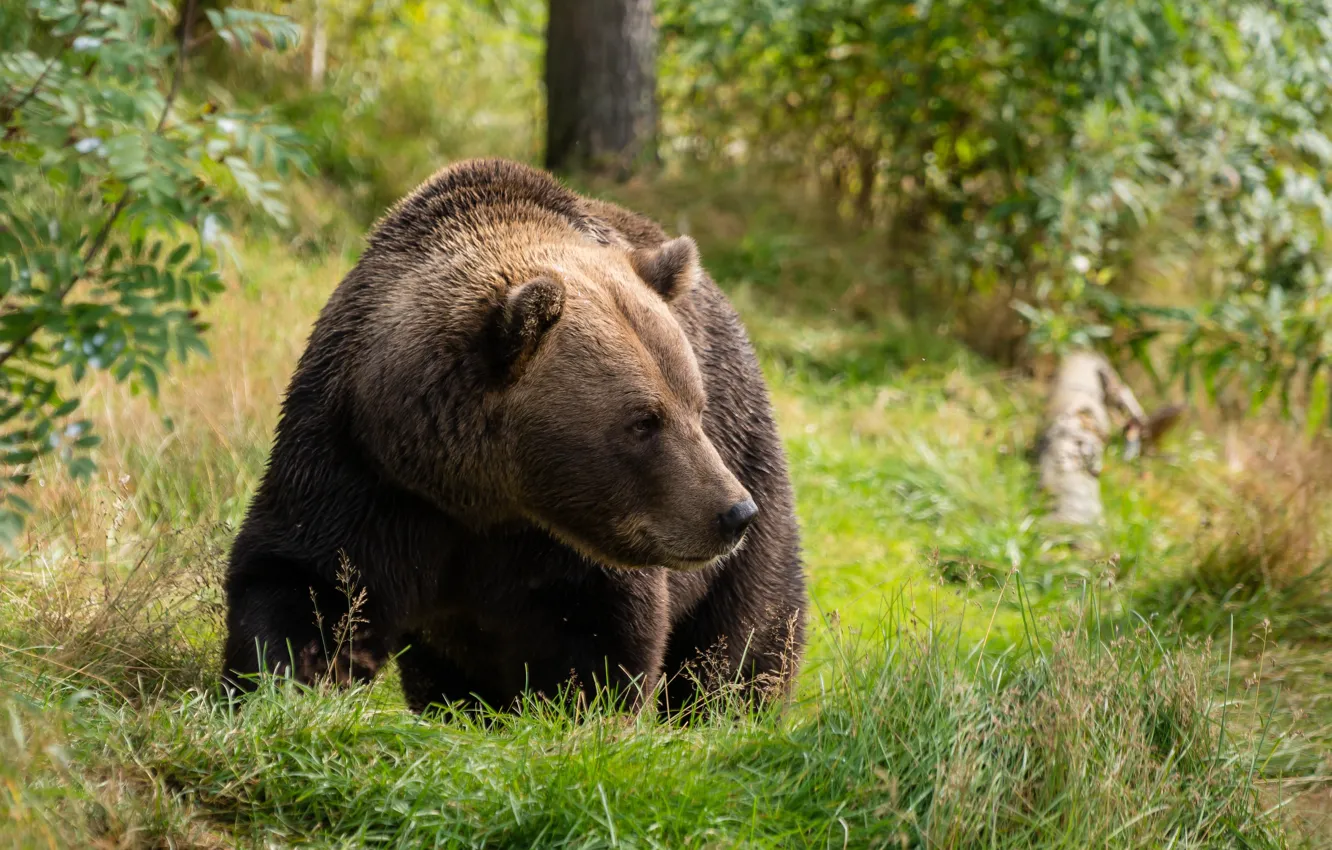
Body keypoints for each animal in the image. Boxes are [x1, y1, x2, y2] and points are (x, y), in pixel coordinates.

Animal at [221, 158, 806, 714]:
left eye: (695, 406)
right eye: (643, 421)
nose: (732, 513)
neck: (481, 494)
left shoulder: (574, 546)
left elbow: (603, 639)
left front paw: (582, 711)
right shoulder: (363, 469)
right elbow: (308, 587)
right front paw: (286, 684)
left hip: (753, 475)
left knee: (743, 641)